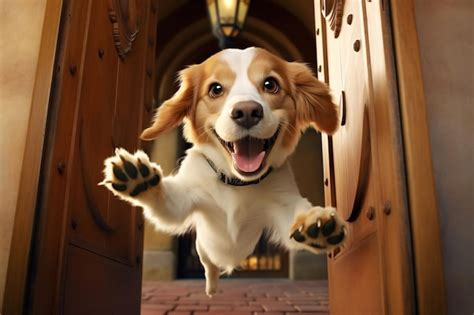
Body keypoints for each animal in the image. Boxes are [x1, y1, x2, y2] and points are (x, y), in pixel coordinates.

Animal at [101, 47, 344, 296]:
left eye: (270, 84)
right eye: (215, 89)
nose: (247, 111)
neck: (236, 183)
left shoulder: (282, 204)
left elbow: (298, 214)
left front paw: (317, 223)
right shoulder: (185, 200)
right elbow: (166, 197)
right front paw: (139, 178)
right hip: (202, 247)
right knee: (209, 265)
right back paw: (212, 287)